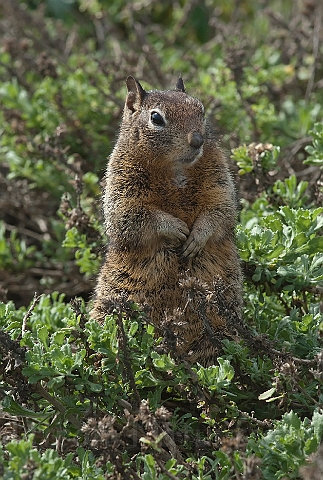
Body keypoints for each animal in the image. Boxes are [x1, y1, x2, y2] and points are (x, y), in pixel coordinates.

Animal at [91, 77, 243, 366]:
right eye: (156, 118)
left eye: (201, 110)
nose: (198, 140)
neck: (175, 168)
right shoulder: (121, 184)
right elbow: (131, 216)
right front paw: (175, 229)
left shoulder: (219, 179)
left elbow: (220, 211)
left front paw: (196, 237)